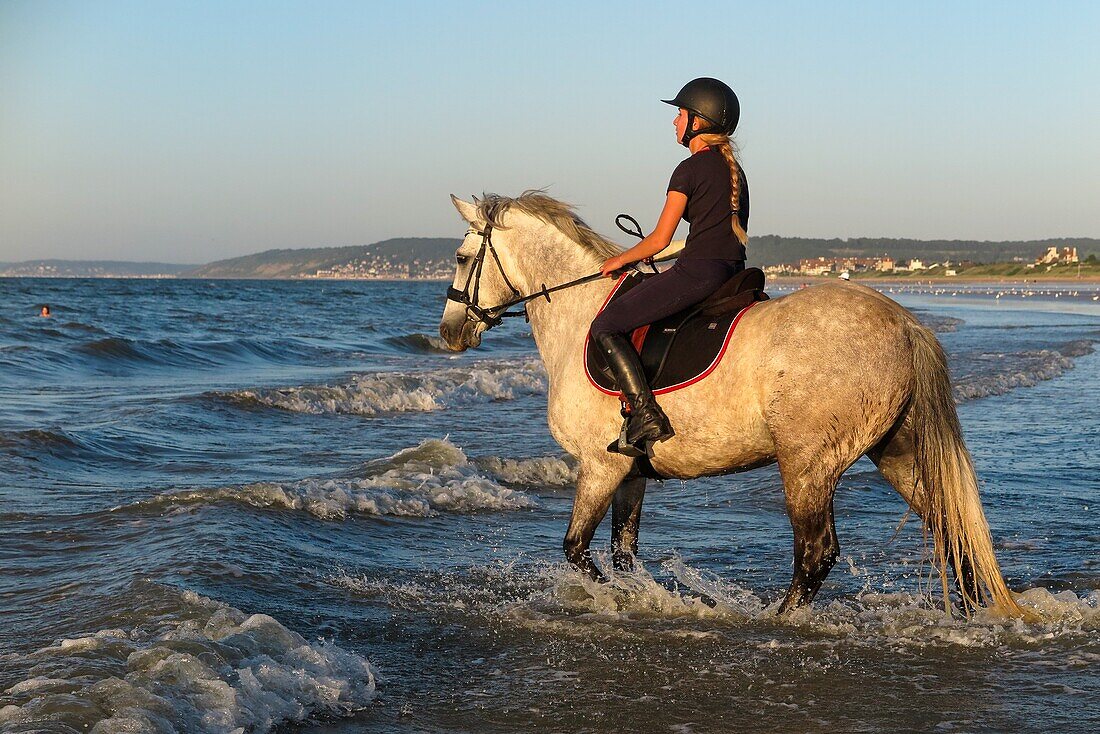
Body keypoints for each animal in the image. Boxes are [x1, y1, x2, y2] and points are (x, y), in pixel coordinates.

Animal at [437, 192, 1020, 616]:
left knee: (816, 553)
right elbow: (623, 556)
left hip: (807, 463)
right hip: (899, 452)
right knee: (951, 528)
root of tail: (903, 323)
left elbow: (577, 550)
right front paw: (637, 598)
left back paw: (780, 619)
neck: (581, 315)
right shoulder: (630, 472)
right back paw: (976, 615)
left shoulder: (600, 467)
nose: (449, 332)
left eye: (463, 259)